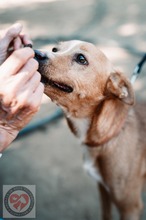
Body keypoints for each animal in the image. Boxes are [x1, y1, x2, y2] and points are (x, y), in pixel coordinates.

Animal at [35, 40, 146, 219]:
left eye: (81, 58)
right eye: (55, 49)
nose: (35, 52)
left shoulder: (130, 207)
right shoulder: (103, 189)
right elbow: (106, 214)